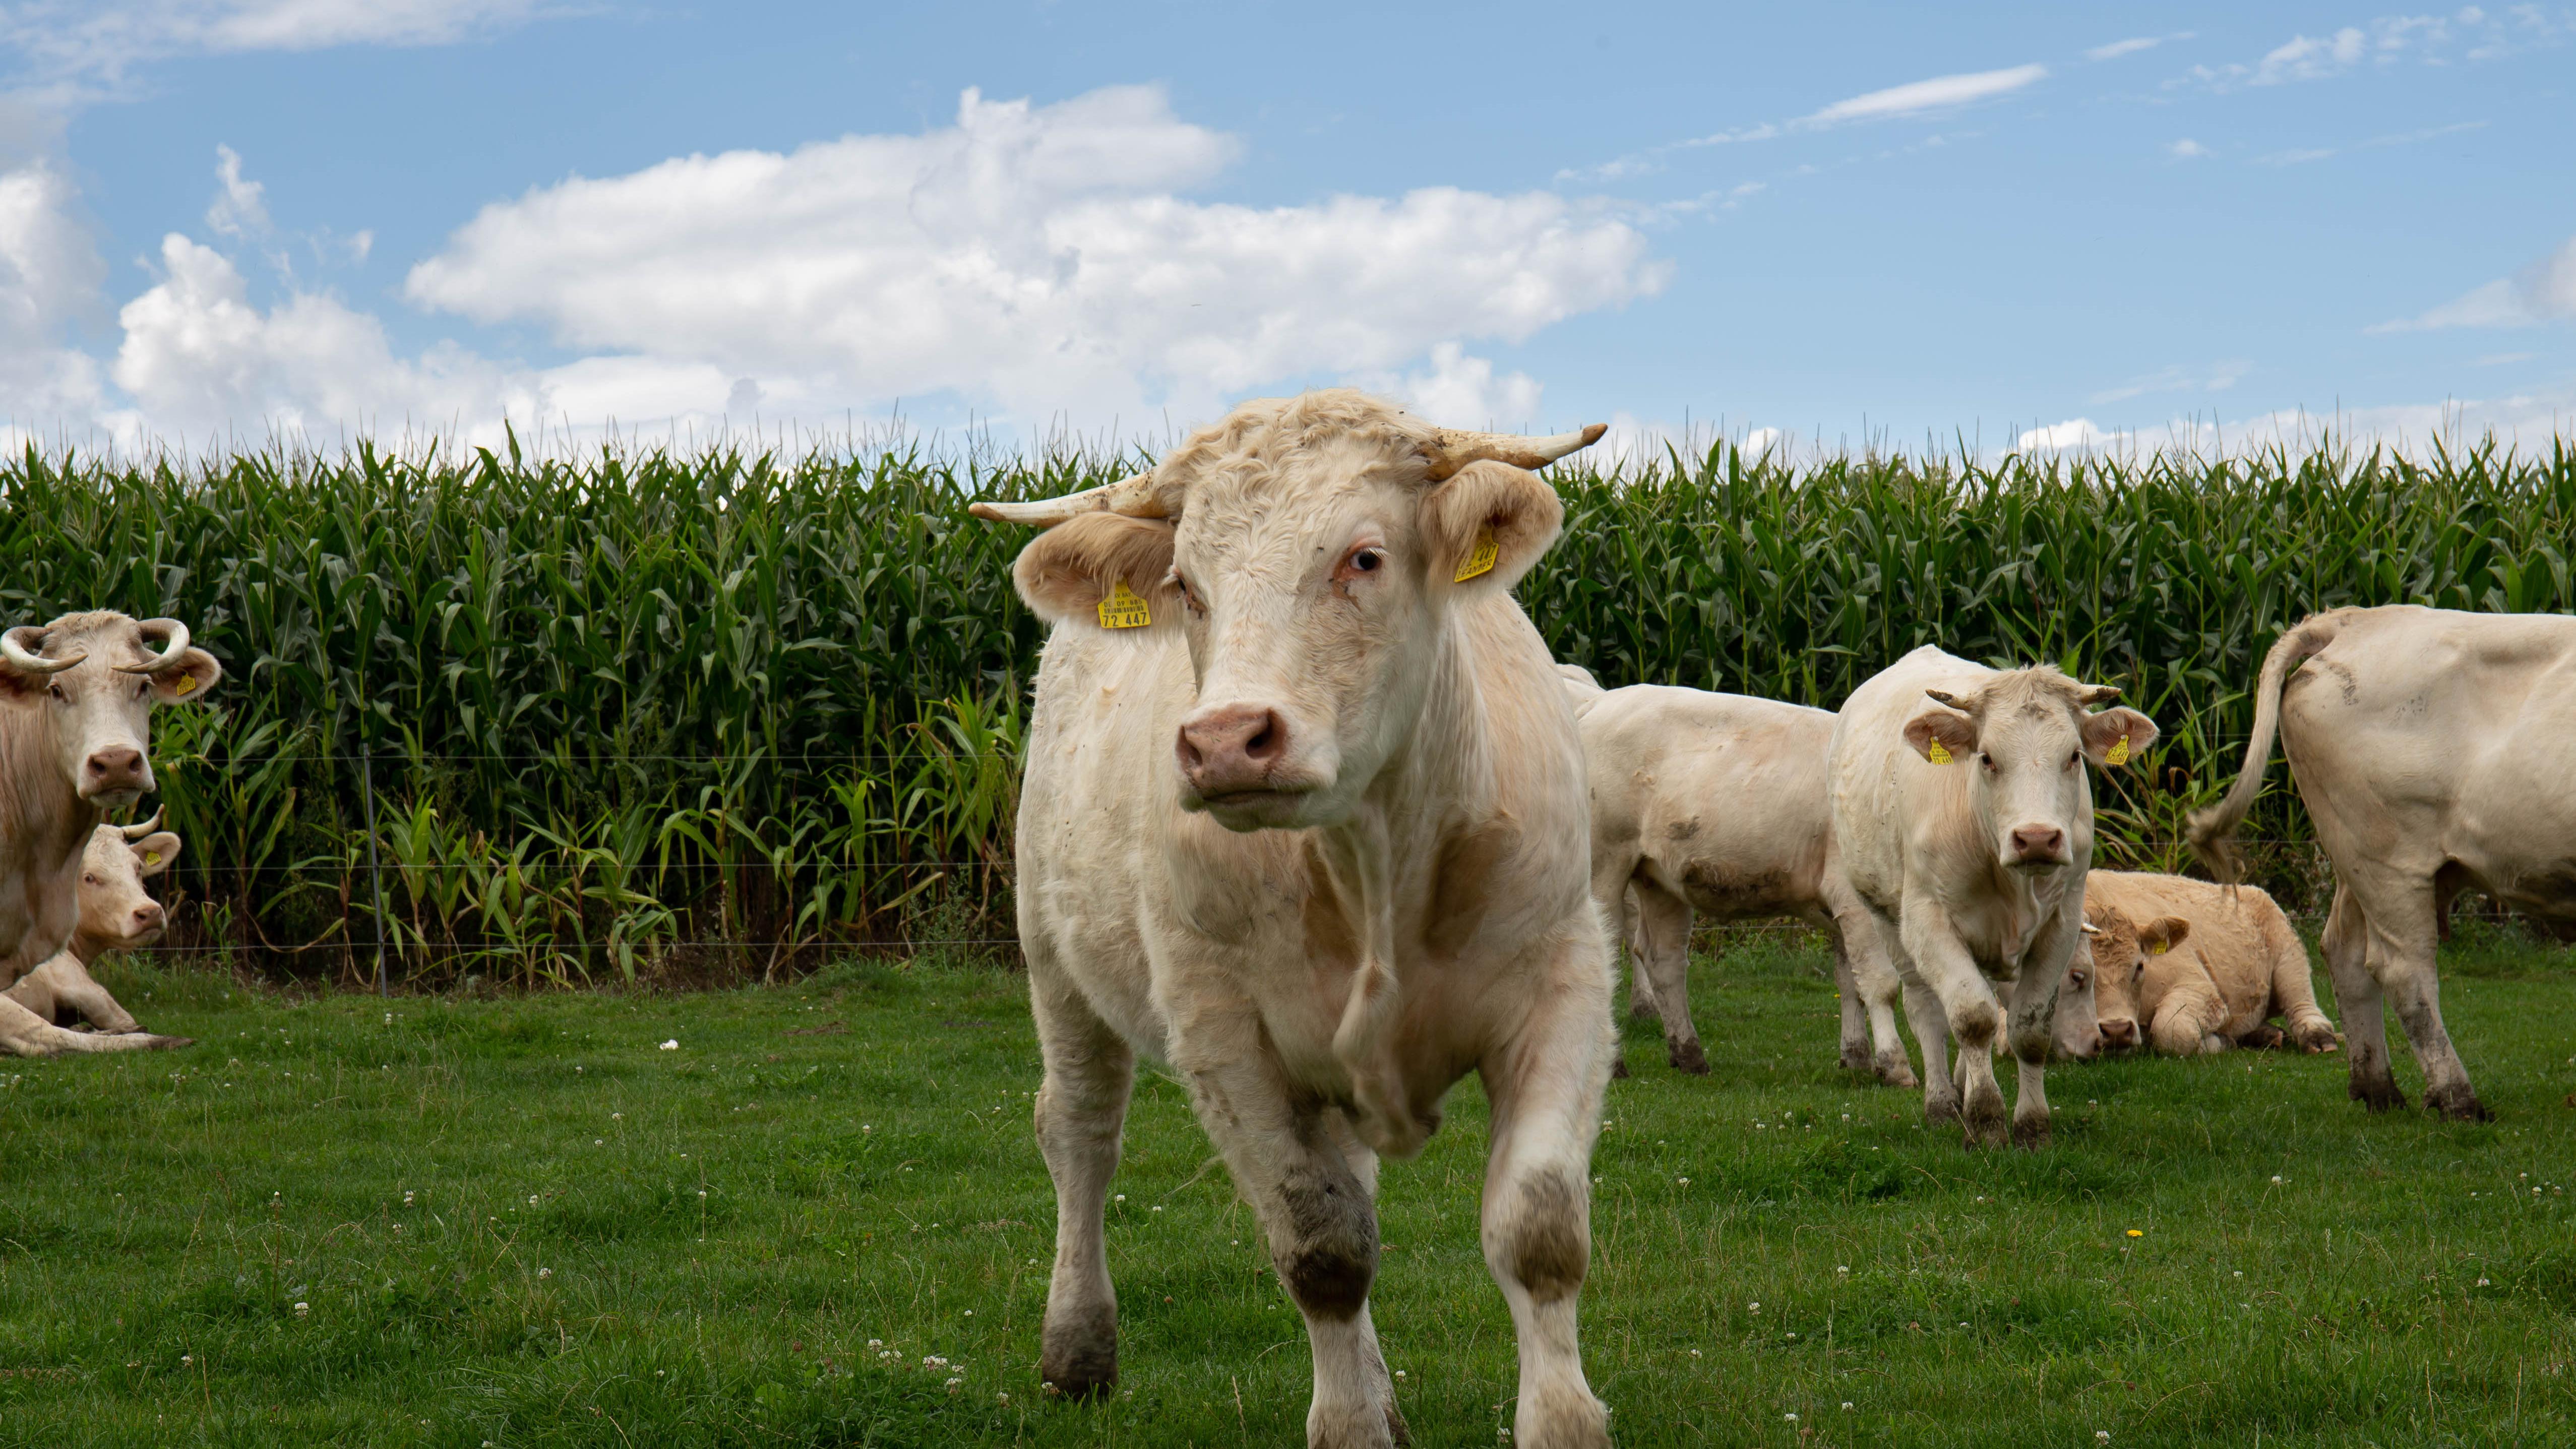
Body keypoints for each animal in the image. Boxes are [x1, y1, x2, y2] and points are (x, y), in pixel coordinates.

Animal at [973, 389, 1618, 1433]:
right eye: (1187, 585)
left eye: (1364, 557)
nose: (1224, 740)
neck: (1374, 865)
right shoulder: (1222, 1031)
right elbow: (1324, 1250)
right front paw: (1351, 1427)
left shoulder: (1562, 979)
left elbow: (1539, 1228)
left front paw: (1558, 1423)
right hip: (1056, 961)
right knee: (1079, 1134)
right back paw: (1078, 1345)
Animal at [1823, 642, 2164, 1139]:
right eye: (1986, 757)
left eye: (2074, 756)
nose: (2037, 838)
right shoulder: (1927, 919)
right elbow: (1972, 1018)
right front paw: (1985, 1118)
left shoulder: (2063, 922)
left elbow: (2030, 1028)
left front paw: (2031, 1124)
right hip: (1886, 916)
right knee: (1927, 1009)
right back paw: (1944, 1104)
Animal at [2081, 861, 2349, 1057]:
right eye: (2079, 975)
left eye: (2139, 966)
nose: (2117, 1031)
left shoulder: (2198, 985)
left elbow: (2172, 1030)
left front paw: (2220, 1041)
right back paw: (2264, 1035)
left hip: (2289, 954)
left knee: (2302, 1002)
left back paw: (2318, 1037)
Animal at [2184, 600, 2576, 1119]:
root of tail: (2357, 618)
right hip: (2390, 862)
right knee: (2404, 967)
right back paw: (2457, 1100)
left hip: (2353, 854)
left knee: (2342, 951)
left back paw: (2378, 1089)